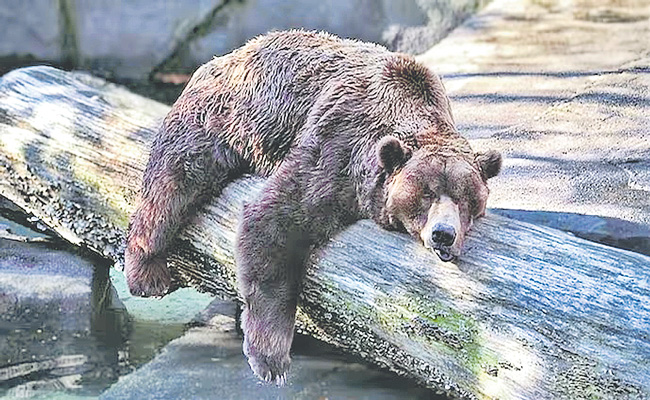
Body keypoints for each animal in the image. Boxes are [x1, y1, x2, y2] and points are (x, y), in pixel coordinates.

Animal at [124, 30, 502, 385]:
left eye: (466, 199)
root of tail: (225, 57)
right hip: (217, 120)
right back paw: (147, 273)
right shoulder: (339, 144)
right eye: (425, 194)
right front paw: (271, 360)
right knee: (173, 182)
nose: (443, 234)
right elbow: (276, 220)